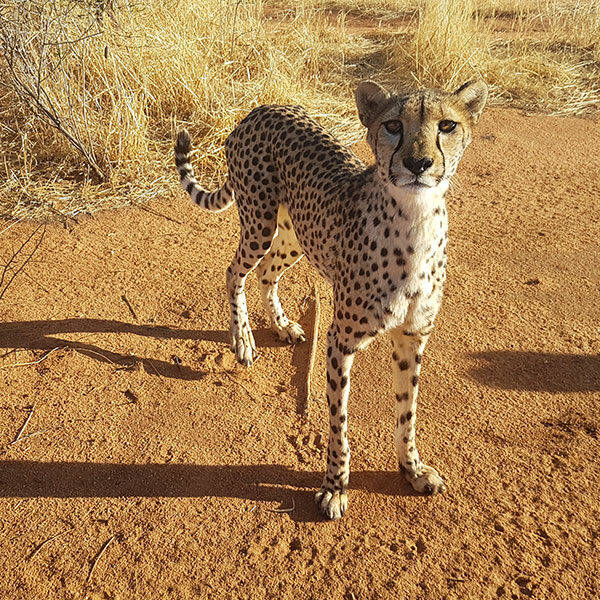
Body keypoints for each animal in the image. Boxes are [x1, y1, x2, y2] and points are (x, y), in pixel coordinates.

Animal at [174, 79, 487, 520]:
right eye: (393, 125)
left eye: (447, 125)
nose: (418, 163)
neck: (415, 219)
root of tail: (261, 109)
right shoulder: (341, 341)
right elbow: (338, 423)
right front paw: (335, 486)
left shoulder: (412, 338)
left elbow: (406, 412)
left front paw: (411, 468)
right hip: (259, 222)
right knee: (235, 271)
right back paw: (243, 341)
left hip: (296, 235)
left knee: (267, 272)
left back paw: (281, 325)